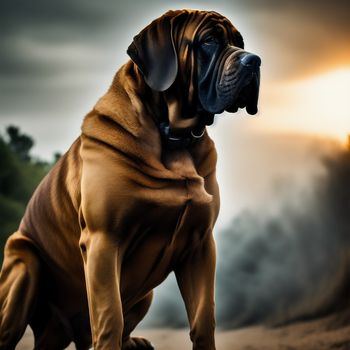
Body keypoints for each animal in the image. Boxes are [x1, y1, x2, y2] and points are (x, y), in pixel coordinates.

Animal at [0, 8, 260, 350]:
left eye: (239, 42)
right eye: (209, 41)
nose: (254, 60)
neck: (173, 137)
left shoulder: (201, 245)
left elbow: (204, 318)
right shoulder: (103, 241)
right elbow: (110, 317)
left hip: (143, 295)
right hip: (23, 261)